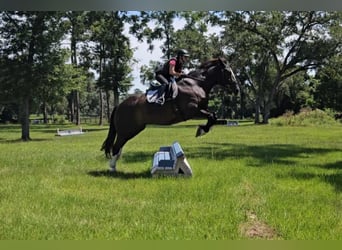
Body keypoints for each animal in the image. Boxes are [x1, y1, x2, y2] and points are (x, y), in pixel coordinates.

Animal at [101, 57, 239, 171]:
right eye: (228, 72)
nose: (237, 89)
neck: (197, 84)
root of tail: (119, 105)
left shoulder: (202, 109)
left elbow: (213, 116)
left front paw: (203, 129)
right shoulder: (192, 111)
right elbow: (211, 116)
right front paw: (201, 130)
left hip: (132, 130)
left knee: (119, 147)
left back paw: (114, 165)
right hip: (127, 130)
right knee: (116, 147)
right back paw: (112, 168)